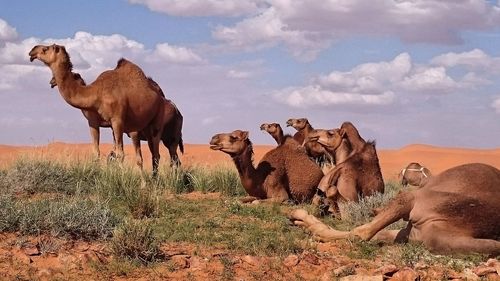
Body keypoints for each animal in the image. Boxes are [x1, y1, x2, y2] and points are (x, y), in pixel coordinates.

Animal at [29, 44, 166, 174]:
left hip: (156, 122)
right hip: (143, 127)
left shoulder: (117, 120)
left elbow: (120, 154)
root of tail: (160, 93)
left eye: (46, 49)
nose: (32, 51)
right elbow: (97, 152)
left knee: (155, 154)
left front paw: (120, 178)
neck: (96, 93)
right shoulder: (93, 122)